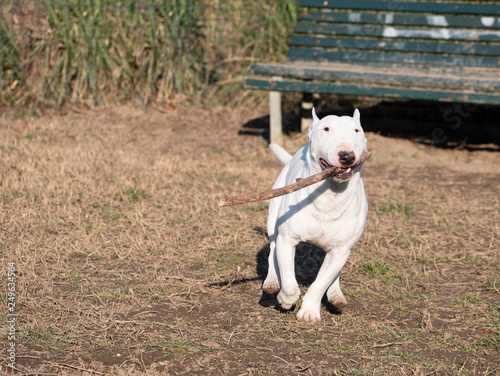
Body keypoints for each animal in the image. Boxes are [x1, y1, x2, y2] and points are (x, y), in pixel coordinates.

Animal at [264, 108, 370, 324]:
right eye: (326, 128)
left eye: (357, 130)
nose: (347, 156)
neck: (330, 195)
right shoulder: (287, 240)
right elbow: (288, 280)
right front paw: (286, 299)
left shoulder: (340, 250)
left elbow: (321, 283)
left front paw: (309, 311)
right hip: (273, 221)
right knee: (272, 251)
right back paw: (271, 281)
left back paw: (336, 294)